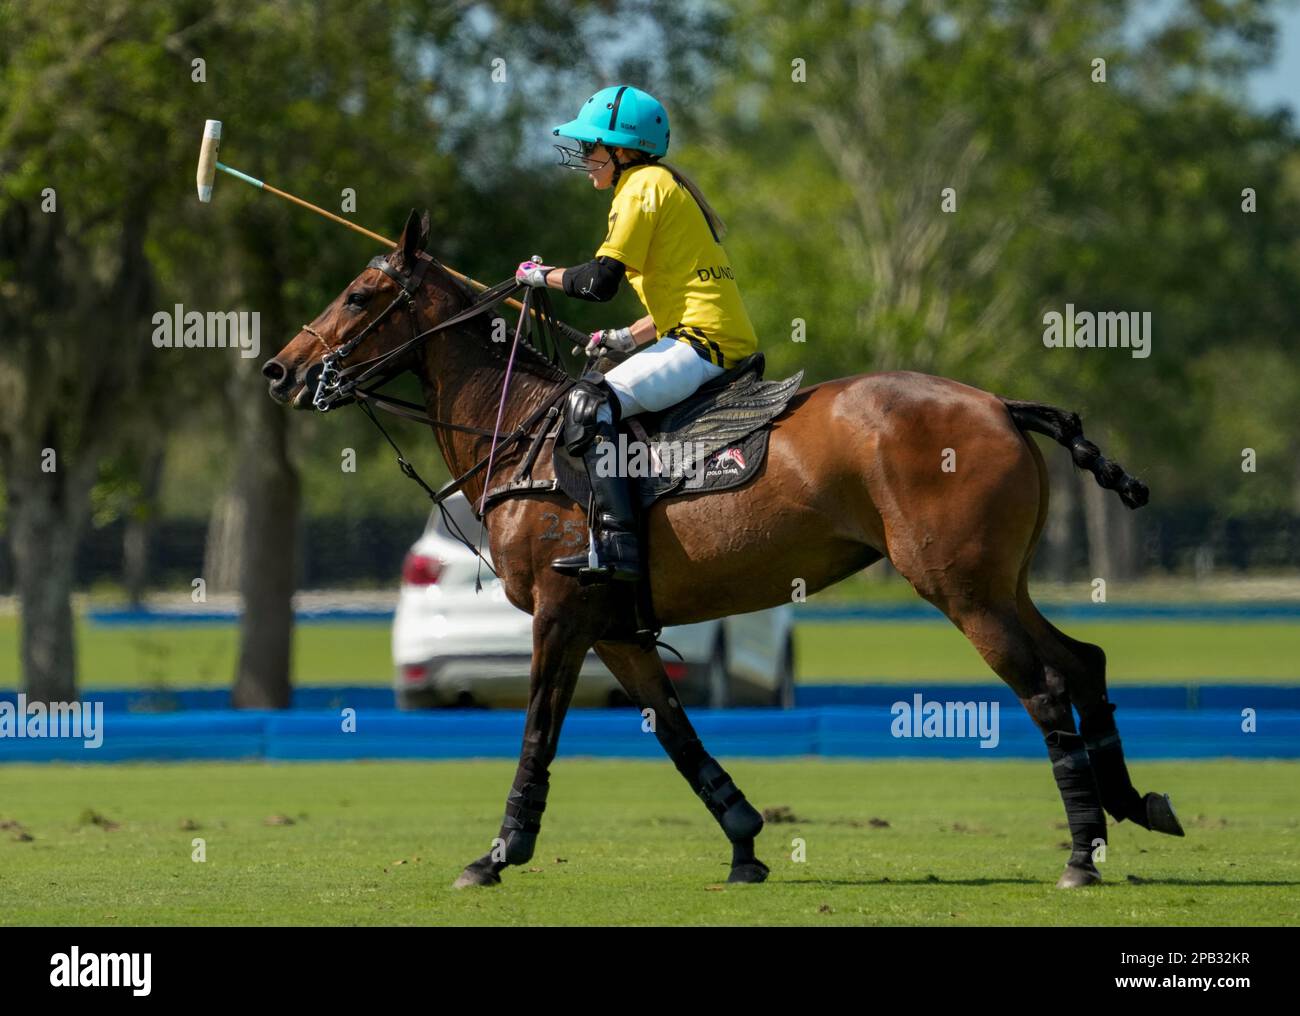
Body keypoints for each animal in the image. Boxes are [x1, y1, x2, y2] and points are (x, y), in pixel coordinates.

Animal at [258, 213, 1185, 893]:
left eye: (359, 294)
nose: (279, 371)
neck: (517, 428)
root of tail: (1000, 405)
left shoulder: (562, 613)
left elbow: (539, 732)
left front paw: (496, 855)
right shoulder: (615, 626)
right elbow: (677, 734)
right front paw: (745, 844)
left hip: (959, 586)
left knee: (1045, 686)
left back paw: (1081, 854)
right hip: (999, 580)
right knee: (1085, 661)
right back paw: (1134, 808)